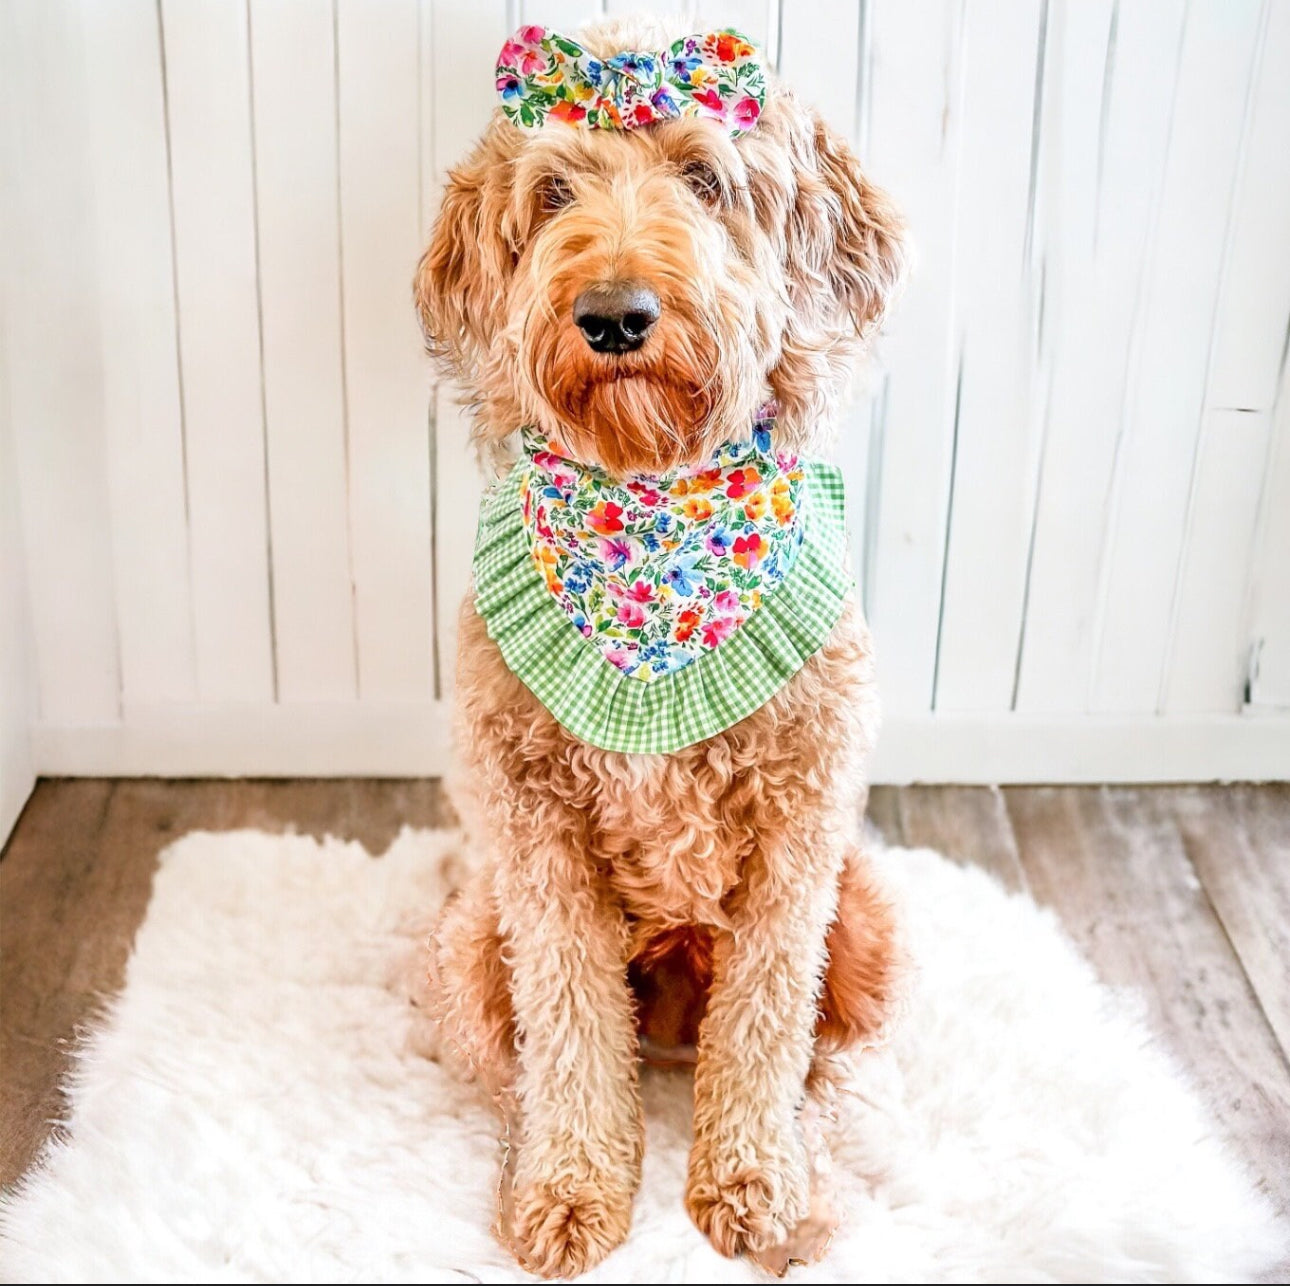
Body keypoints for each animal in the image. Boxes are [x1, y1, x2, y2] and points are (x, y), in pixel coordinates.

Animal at [420, 15, 908, 1279]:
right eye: (553, 193)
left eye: (705, 178)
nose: (615, 315)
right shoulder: (534, 835)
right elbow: (571, 1026)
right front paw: (571, 1193)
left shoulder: (802, 832)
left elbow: (770, 1021)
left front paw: (754, 1189)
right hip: (470, 937)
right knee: (519, 1053)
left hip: (866, 918)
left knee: (818, 1048)